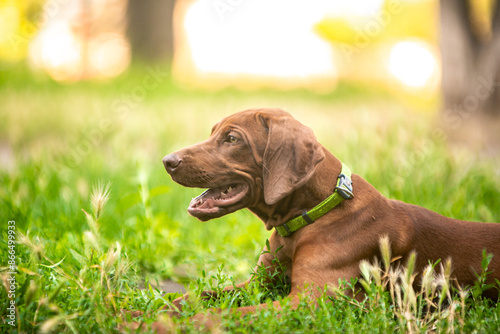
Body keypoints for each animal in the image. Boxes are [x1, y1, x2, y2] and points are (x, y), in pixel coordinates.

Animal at [162, 110, 498, 324]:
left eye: (232, 139)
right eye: (213, 133)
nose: (168, 161)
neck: (307, 218)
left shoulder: (309, 301)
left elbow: (222, 314)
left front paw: (175, 323)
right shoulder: (257, 285)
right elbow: (195, 296)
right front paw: (157, 311)